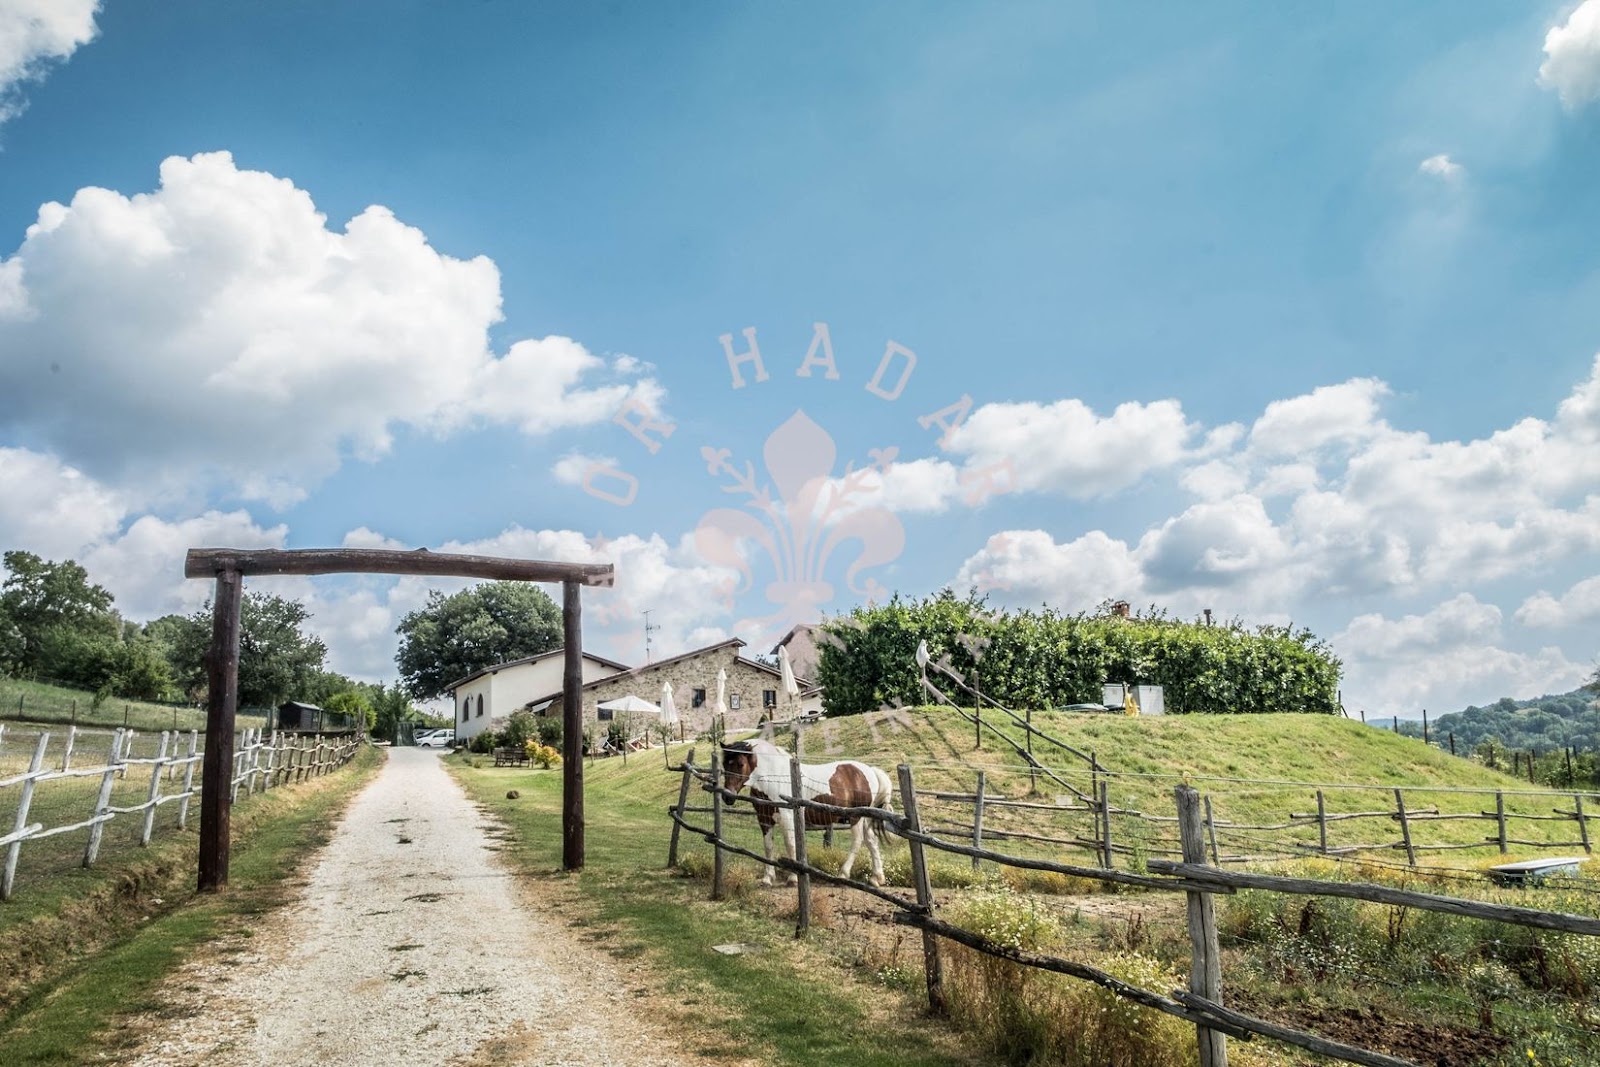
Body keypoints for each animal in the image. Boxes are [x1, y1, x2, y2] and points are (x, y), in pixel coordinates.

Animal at [719, 738, 892, 887]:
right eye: (724, 765)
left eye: (741, 764)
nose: (728, 796)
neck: (775, 777)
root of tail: (870, 771)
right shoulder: (764, 818)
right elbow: (768, 846)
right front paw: (767, 878)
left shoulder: (788, 818)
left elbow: (790, 845)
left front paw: (793, 878)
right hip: (866, 818)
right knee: (872, 841)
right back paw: (877, 878)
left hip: (856, 817)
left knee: (857, 841)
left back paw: (843, 874)